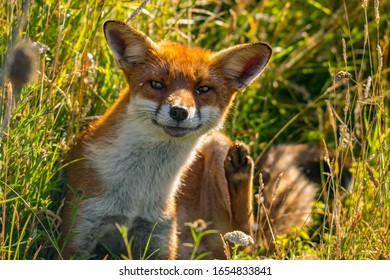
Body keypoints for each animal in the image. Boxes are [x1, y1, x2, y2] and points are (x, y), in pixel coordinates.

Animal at [61, 20, 274, 260]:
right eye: (157, 84)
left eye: (203, 88)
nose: (179, 111)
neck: (138, 192)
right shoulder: (81, 228)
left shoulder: (160, 237)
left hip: (218, 147)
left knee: (244, 233)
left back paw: (240, 171)